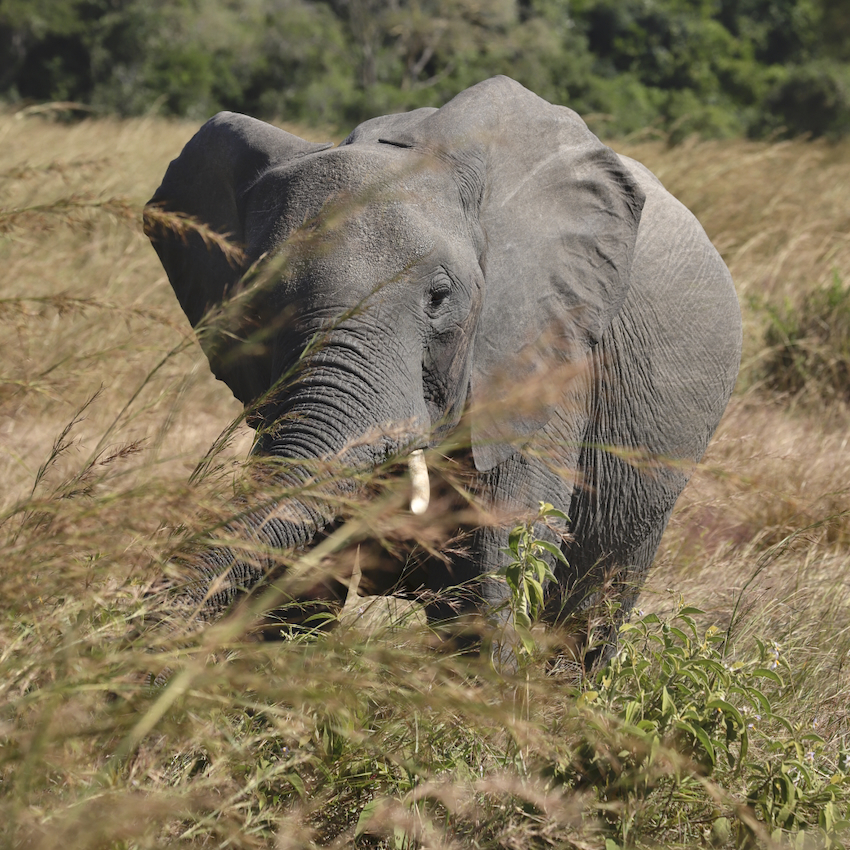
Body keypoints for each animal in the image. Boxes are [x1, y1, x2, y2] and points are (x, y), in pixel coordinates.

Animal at [142, 76, 740, 660]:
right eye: (257, 303)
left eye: (438, 298)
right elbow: (294, 582)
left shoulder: (543, 349)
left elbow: (496, 583)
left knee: (590, 615)